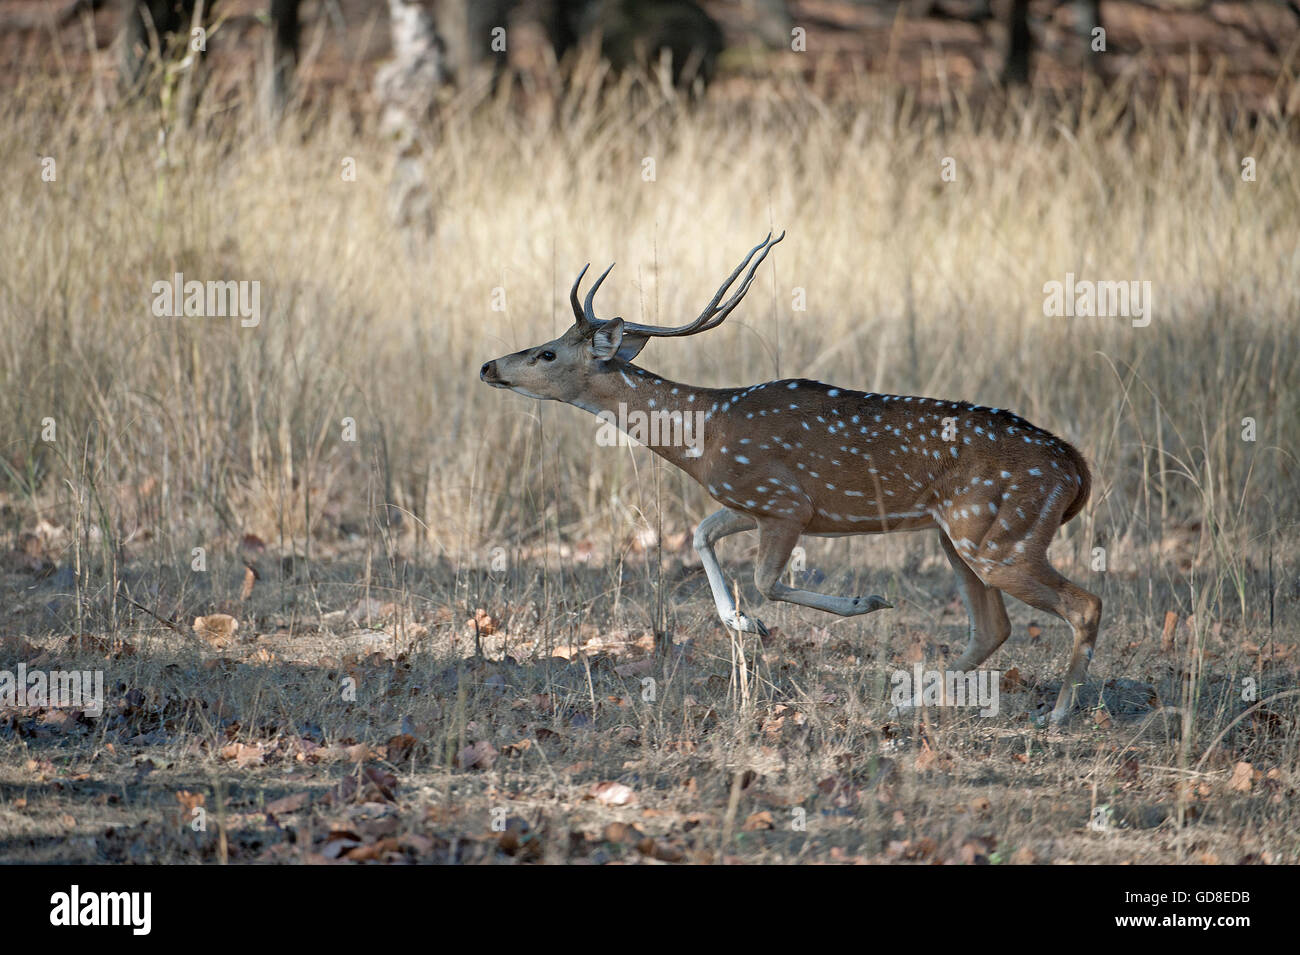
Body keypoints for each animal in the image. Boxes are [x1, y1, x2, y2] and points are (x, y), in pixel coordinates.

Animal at [483, 233, 1102, 722]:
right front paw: (742, 623)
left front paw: (859, 603)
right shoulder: (748, 499)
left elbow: (764, 580)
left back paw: (1057, 713)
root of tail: (1075, 466)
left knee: (1084, 604)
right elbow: (701, 534)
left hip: (1002, 536)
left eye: (546, 352)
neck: (705, 433)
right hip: (961, 535)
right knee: (992, 626)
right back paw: (909, 700)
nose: (489, 366)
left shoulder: (786, 503)